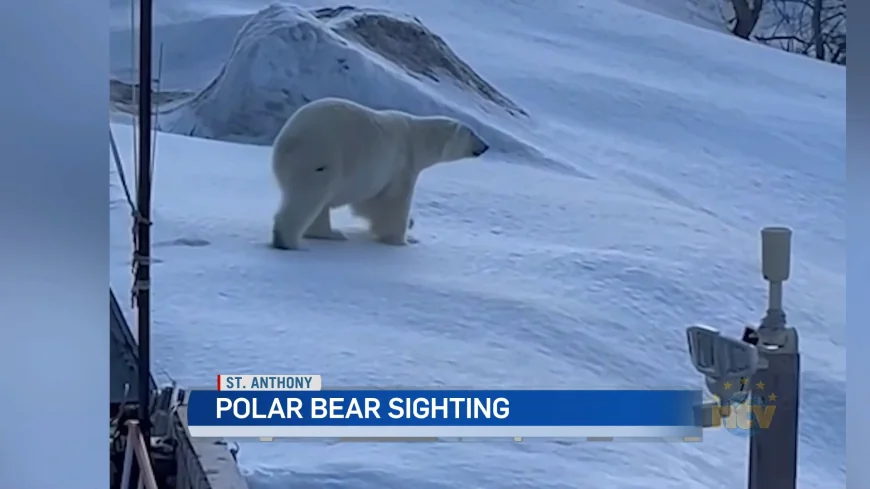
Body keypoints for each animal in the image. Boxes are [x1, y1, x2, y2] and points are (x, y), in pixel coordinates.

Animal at [270, 97, 489, 250]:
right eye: (472, 132)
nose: (486, 145)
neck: (416, 138)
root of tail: (286, 141)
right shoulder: (401, 163)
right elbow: (393, 202)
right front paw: (402, 239)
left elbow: (368, 202)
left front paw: (410, 224)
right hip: (322, 159)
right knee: (308, 198)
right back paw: (290, 241)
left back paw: (331, 233)